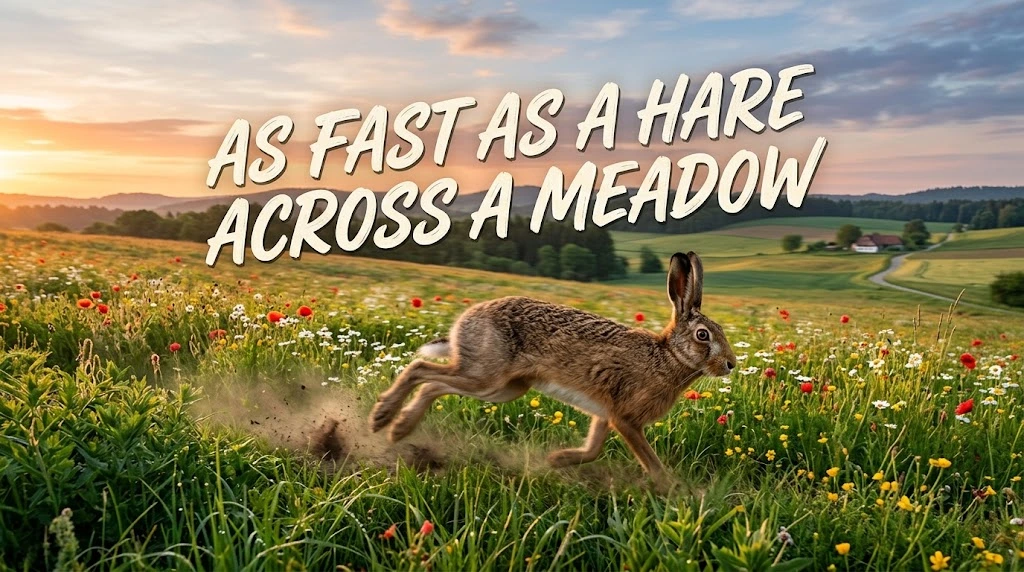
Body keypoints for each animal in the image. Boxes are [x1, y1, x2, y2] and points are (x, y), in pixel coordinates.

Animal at [368, 251, 736, 482]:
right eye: (703, 335)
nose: (731, 364)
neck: (668, 357)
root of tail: (463, 324)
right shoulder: (625, 418)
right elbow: (649, 461)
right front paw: (674, 491)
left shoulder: (605, 413)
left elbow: (592, 449)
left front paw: (557, 460)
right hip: (486, 374)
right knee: (421, 369)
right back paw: (386, 420)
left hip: (503, 388)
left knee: (434, 383)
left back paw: (398, 427)